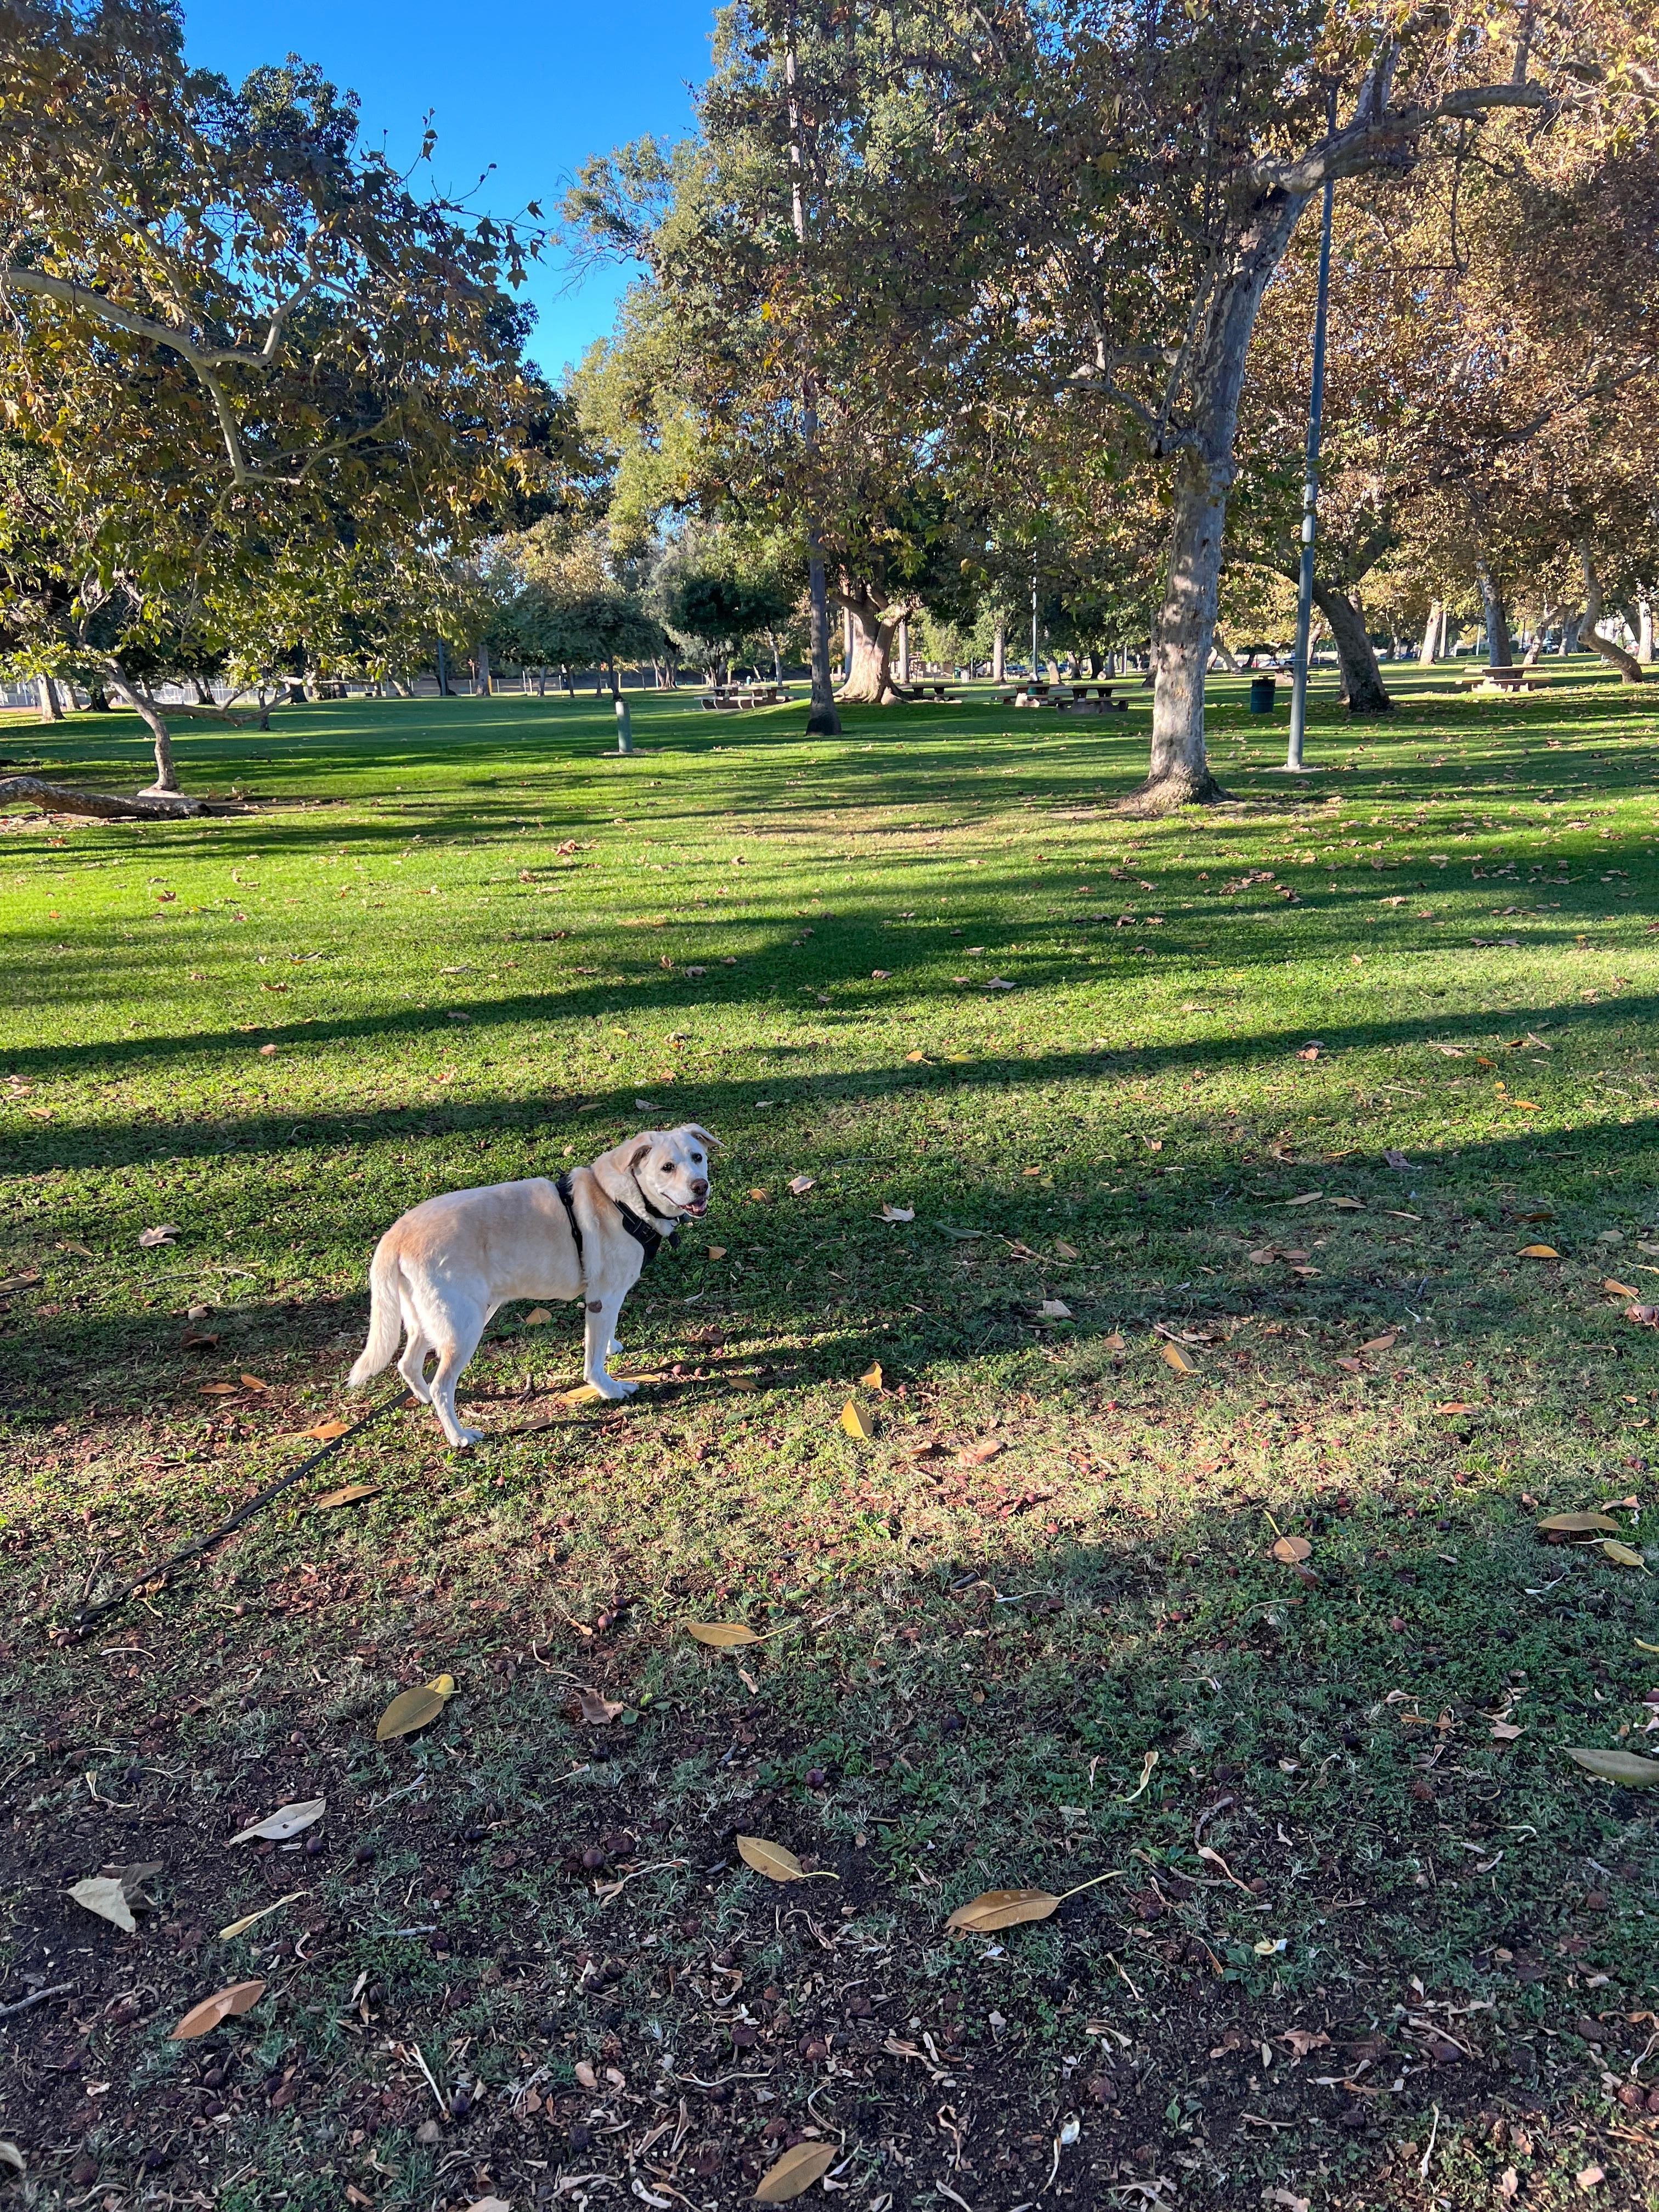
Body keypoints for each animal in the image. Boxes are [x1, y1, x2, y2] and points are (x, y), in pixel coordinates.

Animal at [347, 1124, 716, 1451]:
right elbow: (593, 1361)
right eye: (667, 1167)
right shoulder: (601, 1299)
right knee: (442, 1385)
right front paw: (609, 1389)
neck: (624, 1200)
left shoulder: (607, 1300)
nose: (700, 1187)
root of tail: (397, 1234)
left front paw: (612, 1346)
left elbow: (605, 1337)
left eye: (697, 1157)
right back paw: (459, 1436)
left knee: (408, 1365)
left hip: (430, 1319)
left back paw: (423, 1398)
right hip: (463, 1325)